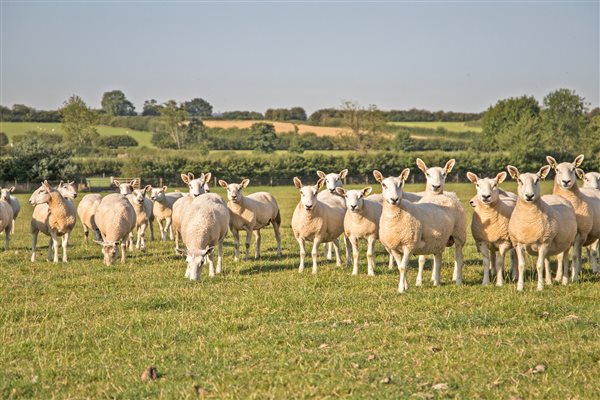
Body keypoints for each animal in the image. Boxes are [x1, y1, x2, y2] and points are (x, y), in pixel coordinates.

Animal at [414, 158, 466, 286]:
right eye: (427, 174)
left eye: (444, 174)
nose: (436, 186)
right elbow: (422, 259)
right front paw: (419, 281)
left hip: (459, 234)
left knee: (459, 259)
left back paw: (457, 279)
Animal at [548, 154, 596, 282]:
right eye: (557, 170)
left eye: (573, 169)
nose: (566, 182)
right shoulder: (563, 235)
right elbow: (560, 256)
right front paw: (558, 277)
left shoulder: (581, 233)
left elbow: (573, 256)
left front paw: (574, 278)